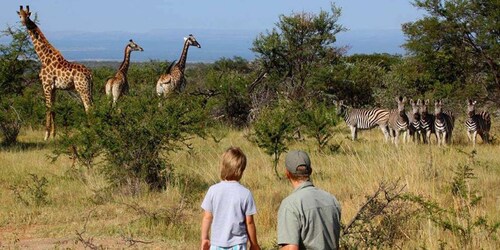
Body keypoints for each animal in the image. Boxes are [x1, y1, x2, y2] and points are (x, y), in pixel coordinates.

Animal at [16, 5, 93, 141]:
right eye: (20, 15)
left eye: (27, 15)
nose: (24, 22)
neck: (43, 57)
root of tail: (89, 74)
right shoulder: (54, 88)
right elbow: (53, 108)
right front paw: (53, 135)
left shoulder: (46, 85)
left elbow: (47, 107)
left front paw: (46, 135)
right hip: (88, 88)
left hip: (82, 88)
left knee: (88, 107)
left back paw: (90, 132)